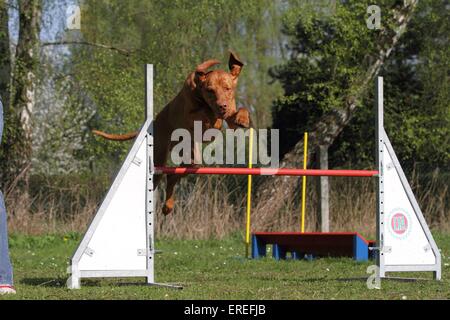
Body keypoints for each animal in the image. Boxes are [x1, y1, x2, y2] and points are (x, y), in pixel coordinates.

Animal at [93, 51, 251, 214]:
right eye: (210, 90)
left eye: (227, 88)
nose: (222, 106)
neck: (199, 91)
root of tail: (154, 122)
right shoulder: (192, 114)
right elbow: (206, 112)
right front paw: (214, 117)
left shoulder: (230, 114)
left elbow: (240, 111)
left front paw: (242, 118)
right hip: (159, 159)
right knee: (162, 177)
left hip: (191, 160)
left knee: (172, 176)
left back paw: (167, 206)